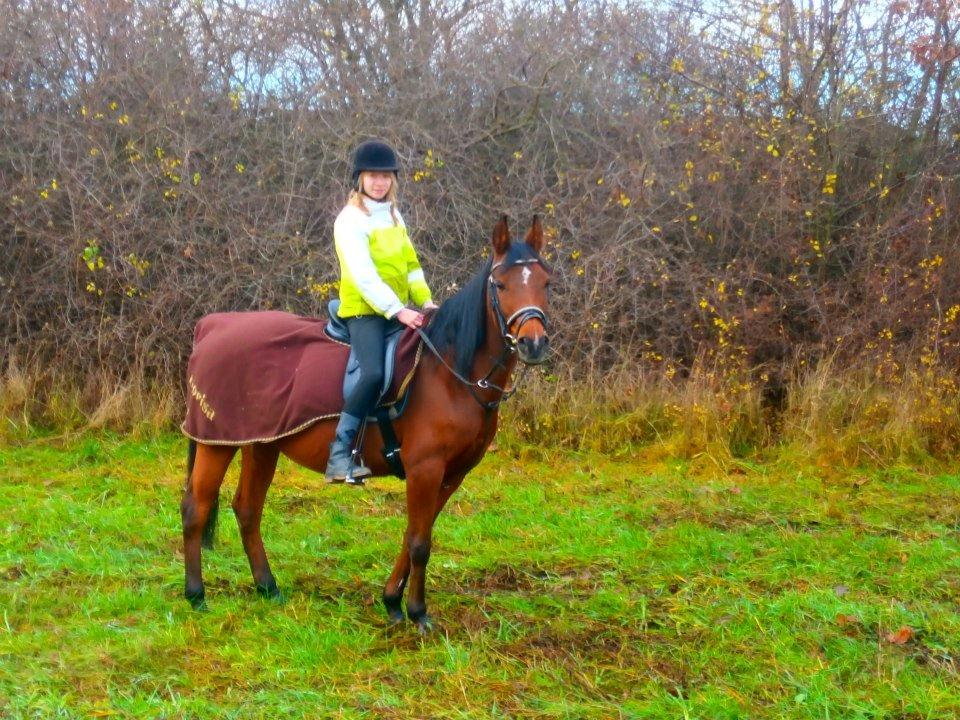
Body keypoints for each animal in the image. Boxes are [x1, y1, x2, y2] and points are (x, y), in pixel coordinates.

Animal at [180, 215, 552, 632]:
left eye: (545, 283)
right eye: (500, 285)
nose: (534, 343)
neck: (450, 372)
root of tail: (212, 325)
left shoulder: (453, 473)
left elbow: (415, 534)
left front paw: (392, 602)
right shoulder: (425, 467)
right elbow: (420, 542)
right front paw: (417, 612)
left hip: (262, 444)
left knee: (247, 509)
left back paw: (267, 587)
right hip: (216, 442)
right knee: (196, 508)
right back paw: (196, 595)